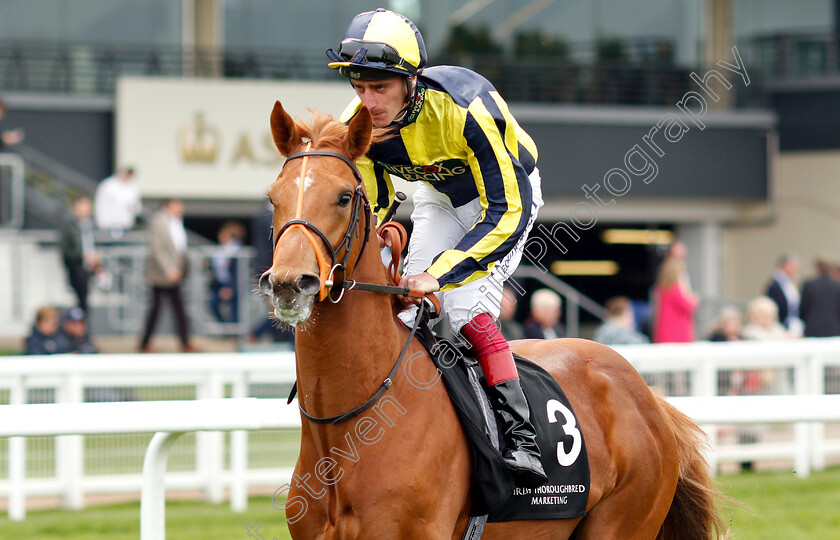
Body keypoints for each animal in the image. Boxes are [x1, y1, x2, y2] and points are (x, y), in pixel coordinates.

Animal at [262, 99, 728, 536]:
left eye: (343, 196)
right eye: (273, 197)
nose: (289, 282)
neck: (349, 428)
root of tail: (650, 398)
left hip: (625, 520)